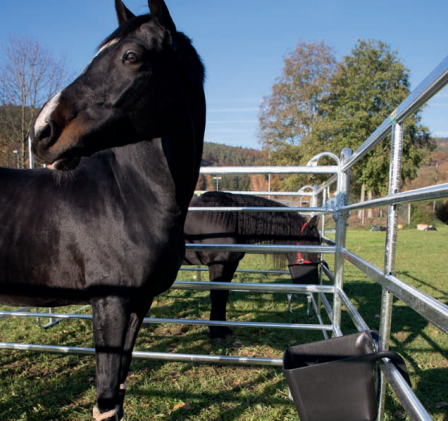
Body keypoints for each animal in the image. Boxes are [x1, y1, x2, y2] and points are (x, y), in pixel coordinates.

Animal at [0, 1, 205, 418]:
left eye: (131, 56)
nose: (41, 132)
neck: (130, 196)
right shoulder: (110, 302)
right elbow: (107, 398)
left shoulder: (139, 302)